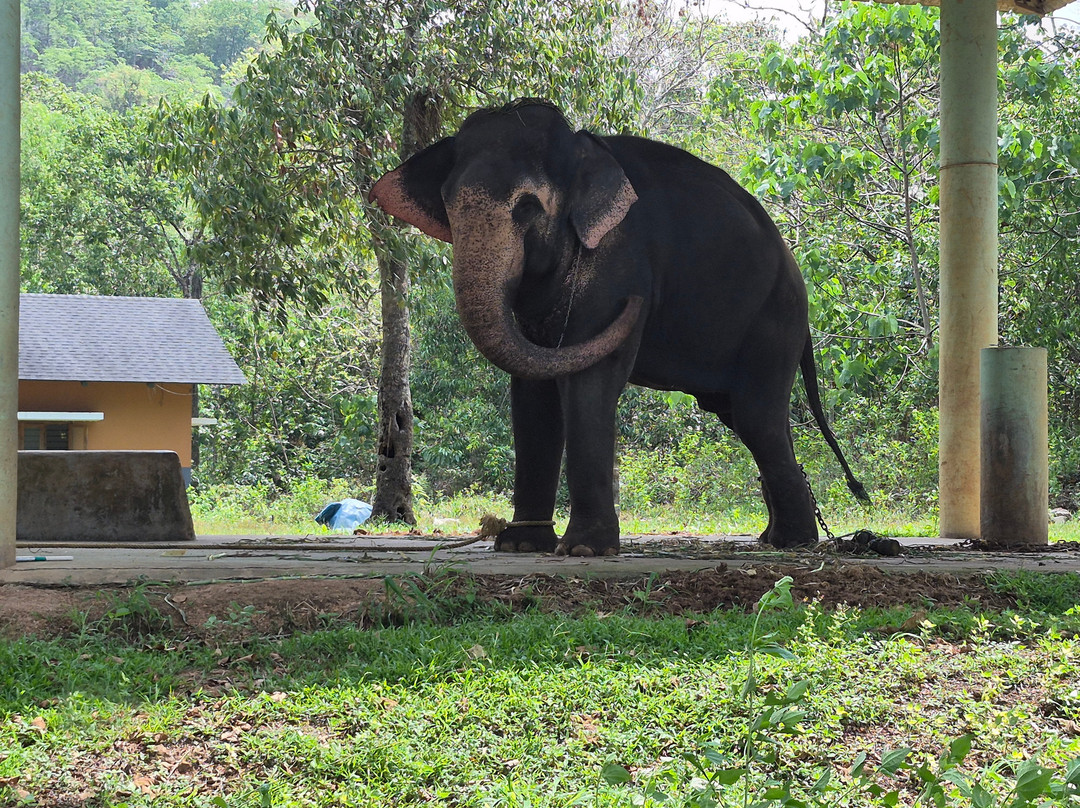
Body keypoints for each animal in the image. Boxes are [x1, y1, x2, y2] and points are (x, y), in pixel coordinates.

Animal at [370, 99, 868, 556]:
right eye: (449, 205)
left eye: (527, 208)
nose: (639, 304)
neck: (583, 152)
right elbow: (531, 393)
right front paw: (521, 545)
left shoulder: (620, 264)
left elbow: (589, 384)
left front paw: (584, 550)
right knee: (746, 417)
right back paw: (776, 537)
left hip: (773, 322)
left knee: (756, 418)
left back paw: (792, 541)